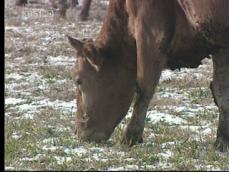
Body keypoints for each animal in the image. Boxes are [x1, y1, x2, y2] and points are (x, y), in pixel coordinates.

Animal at [68, 0, 229, 151]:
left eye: (78, 80)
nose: (77, 132)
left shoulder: (149, 34)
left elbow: (144, 89)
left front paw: (131, 136)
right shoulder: (220, 45)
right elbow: (222, 92)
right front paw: (222, 140)